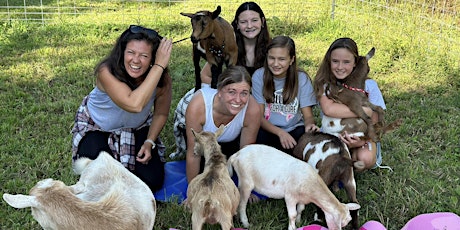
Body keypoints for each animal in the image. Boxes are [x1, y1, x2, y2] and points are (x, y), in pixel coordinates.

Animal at [228, 144, 362, 230]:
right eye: (342, 223)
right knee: (242, 204)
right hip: (245, 181)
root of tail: (236, 155)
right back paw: (246, 223)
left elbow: (300, 209)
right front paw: (292, 227)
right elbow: (291, 214)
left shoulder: (303, 198)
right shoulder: (290, 196)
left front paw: (299, 221)